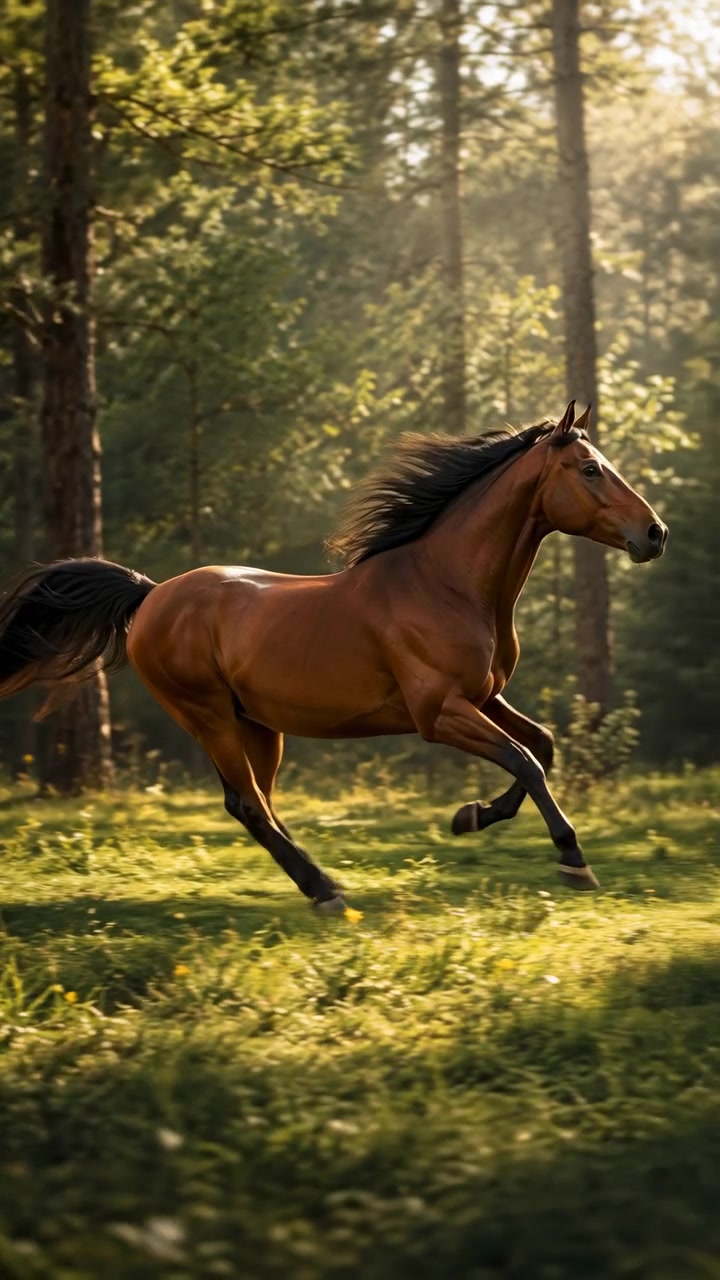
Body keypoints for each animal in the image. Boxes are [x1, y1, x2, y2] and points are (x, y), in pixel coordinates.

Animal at [0, 401, 667, 912]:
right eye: (590, 469)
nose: (654, 533)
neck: (444, 583)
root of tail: (150, 594)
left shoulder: (483, 696)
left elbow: (543, 746)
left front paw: (471, 816)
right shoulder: (438, 712)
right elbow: (524, 760)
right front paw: (572, 859)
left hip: (256, 725)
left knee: (255, 805)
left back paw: (320, 883)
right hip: (208, 716)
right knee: (250, 805)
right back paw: (324, 890)